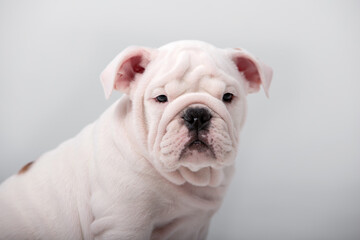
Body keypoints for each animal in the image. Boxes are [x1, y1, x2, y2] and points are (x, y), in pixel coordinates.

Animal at [0, 40, 272, 239]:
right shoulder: (124, 223)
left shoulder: (195, 227)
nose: (197, 114)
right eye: (161, 98)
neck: (188, 177)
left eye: (228, 97)